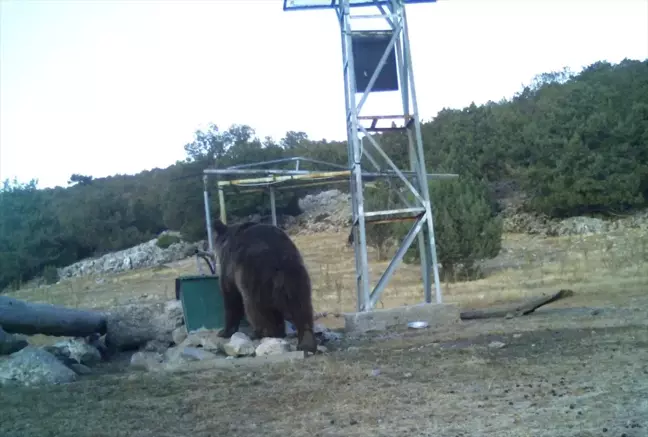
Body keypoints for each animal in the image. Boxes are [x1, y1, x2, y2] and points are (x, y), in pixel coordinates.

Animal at [211, 216, 318, 352]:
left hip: (254, 277)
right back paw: (306, 342)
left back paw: (260, 333)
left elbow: (231, 298)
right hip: (296, 277)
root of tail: (279, 258)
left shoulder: (229, 268)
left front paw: (224, 331)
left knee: (255, 308)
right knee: (301, 308)